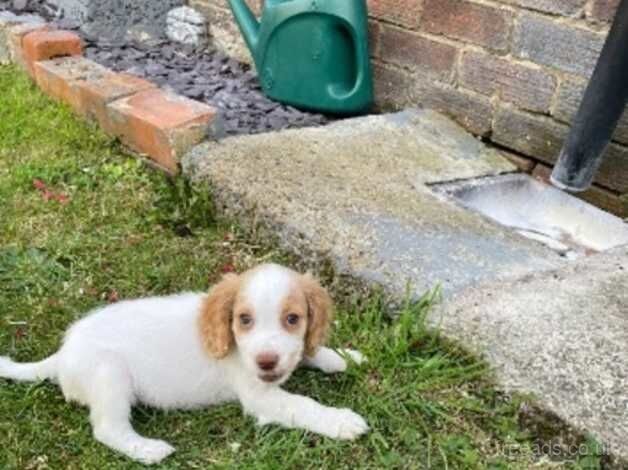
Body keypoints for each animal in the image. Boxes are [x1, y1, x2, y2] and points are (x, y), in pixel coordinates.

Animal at [0, 262, 368, 464]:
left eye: (293, 319)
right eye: (244, 320)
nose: (266, 362)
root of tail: (62, 355)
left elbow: (309, 350)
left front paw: (343, 356)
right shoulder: (260, 397)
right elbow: (304, 405)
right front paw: (341, 421)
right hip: (110, 375)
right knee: (108, 429)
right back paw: (147, 449)